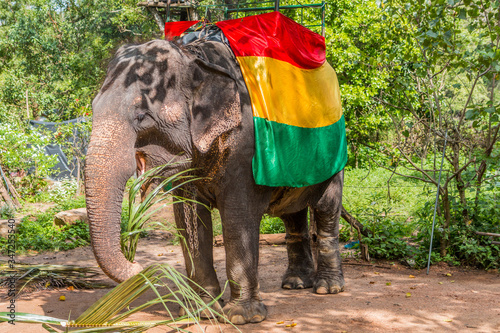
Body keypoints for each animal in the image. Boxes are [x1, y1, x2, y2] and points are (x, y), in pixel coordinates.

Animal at [84, 26, 346, 324]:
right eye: (93, 107)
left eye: (142, 116)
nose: (138, 266)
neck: (194, 58)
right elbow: (190, 220)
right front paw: (201, 311)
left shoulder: (244, 146)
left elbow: (237, 216)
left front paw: (241, 317)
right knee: (292, 214)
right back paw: (295, 283)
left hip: (335, 151)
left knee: (326, 207)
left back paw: (327, 288)